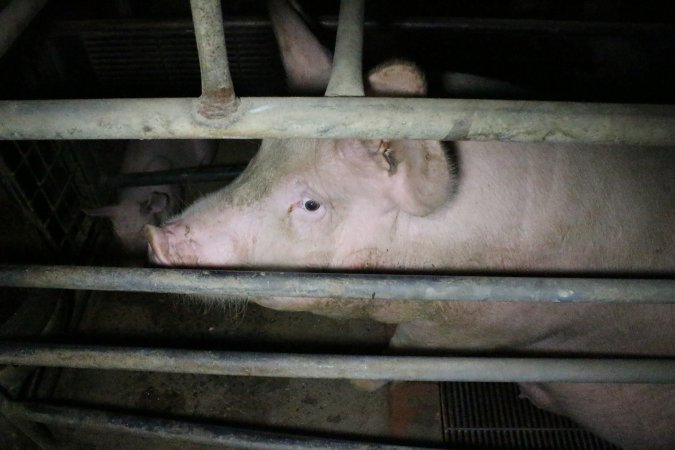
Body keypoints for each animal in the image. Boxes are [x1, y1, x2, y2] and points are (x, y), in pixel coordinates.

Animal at [145, 1, 672, 448]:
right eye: (257, 157)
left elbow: (405, 349)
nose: (158, 236)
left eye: (312, 204)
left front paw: (360, 379)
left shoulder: (494, 325)